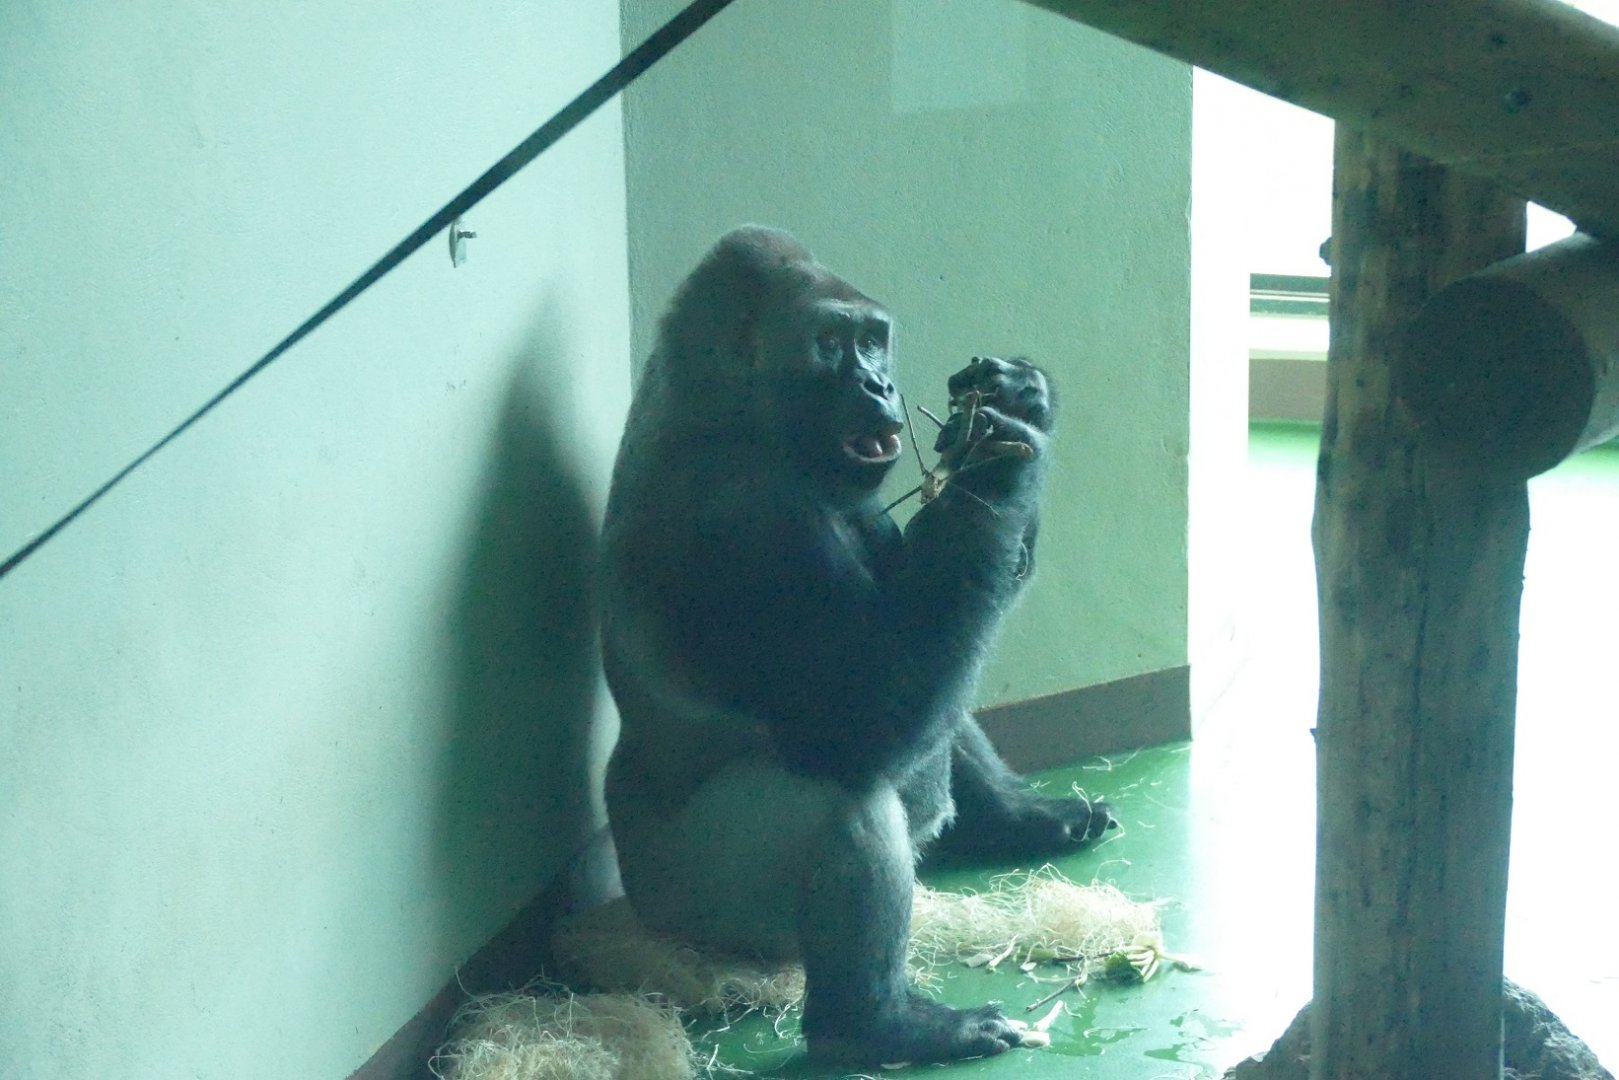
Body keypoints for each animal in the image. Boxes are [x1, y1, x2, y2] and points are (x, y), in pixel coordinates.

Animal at [598, 225, 1116, 1067]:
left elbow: (929, 628)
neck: (721, 404)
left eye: (873, 341)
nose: (877, 385)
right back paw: (875, 1027)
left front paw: (1017, 401)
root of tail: (643, 919)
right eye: (830, 345)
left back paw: (1017, 818)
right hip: (708, 918)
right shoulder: (751, 521)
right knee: (842, 795)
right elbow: (863, 721)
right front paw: (995, 462)